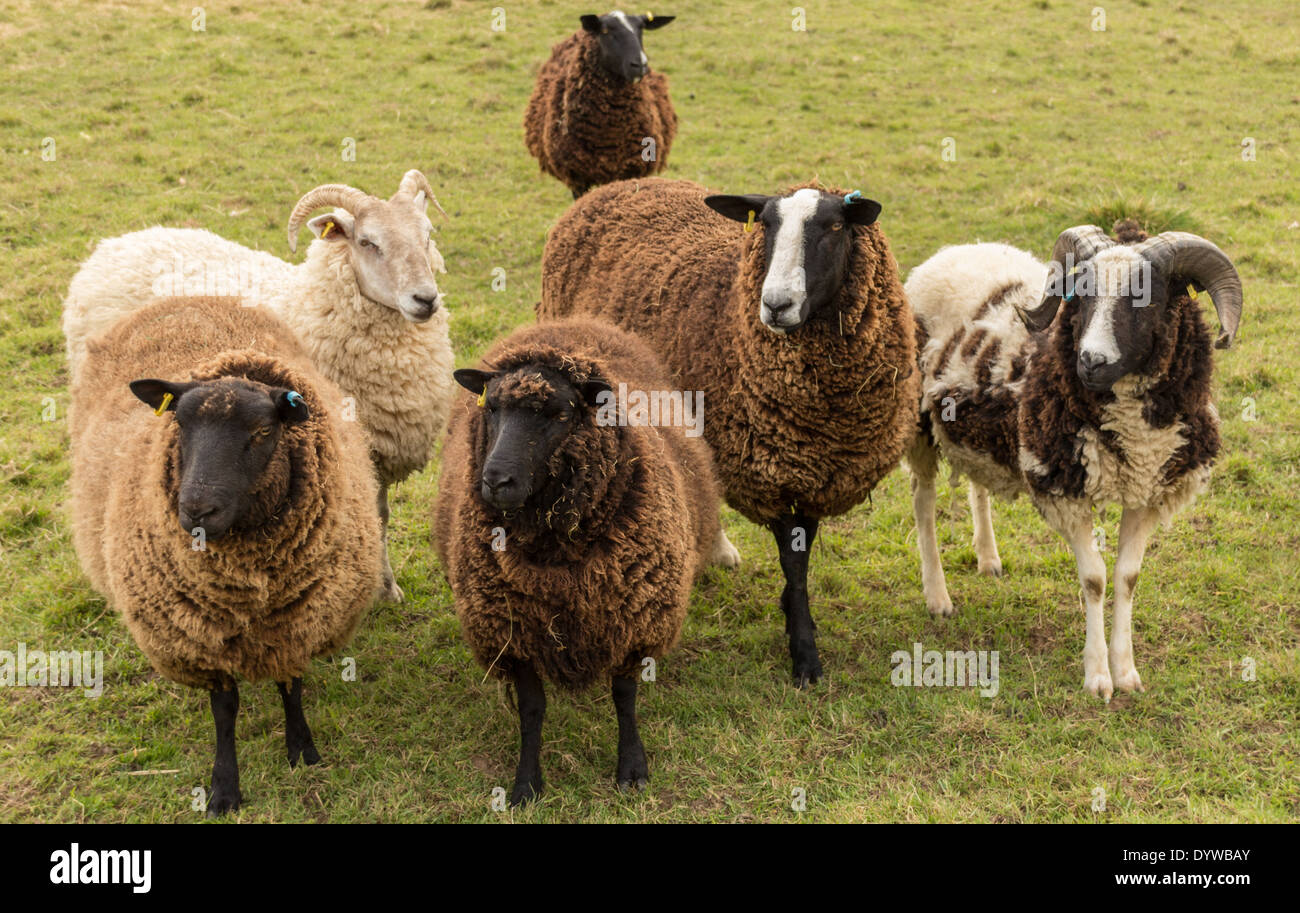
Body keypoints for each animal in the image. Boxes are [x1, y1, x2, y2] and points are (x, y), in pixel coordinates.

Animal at [62, 167, 457, 603]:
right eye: (368, 242)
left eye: (427, 234)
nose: (425, 299)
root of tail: (117, 242)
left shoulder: (379, 453)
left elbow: (381, 514)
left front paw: (386, 588)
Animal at [69, 296, 379, 816]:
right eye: (178, 422)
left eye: (261, 431)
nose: (196, 509)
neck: (250, 588)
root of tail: (181, 297)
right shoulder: (201, 637)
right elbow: (225, 710)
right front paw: (224, 789)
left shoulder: (297, 622)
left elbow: (291, 687)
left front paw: (303, 751)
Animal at [522, 11, 681, 198]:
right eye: (605, 30)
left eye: (641, 28)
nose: (639, 65)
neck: (610, 133)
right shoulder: (577, 177)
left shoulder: (632, 169)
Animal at [533, 176, 920, 686]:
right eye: (767, 225)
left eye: (835, 226)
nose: (776, 305)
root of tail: (620, 185)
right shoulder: (772, 474)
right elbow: (793, 561)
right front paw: (803, 651)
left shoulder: (813, 471)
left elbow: (802, 554)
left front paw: (796, 621)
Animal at [904, 219, 1248, 702]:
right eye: (1080, 295)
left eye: (1147, 298)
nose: (1090, 361)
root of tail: (954, 250)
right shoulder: (1064, 492)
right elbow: (1095, 581)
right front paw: (1098, 678)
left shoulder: (1147, 492)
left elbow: (1127, 577)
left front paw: (1127, 673)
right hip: (918, 424)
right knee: (923, 502)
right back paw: (937, 597)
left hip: (978, 430)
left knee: (978, 484)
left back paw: (988, 559)